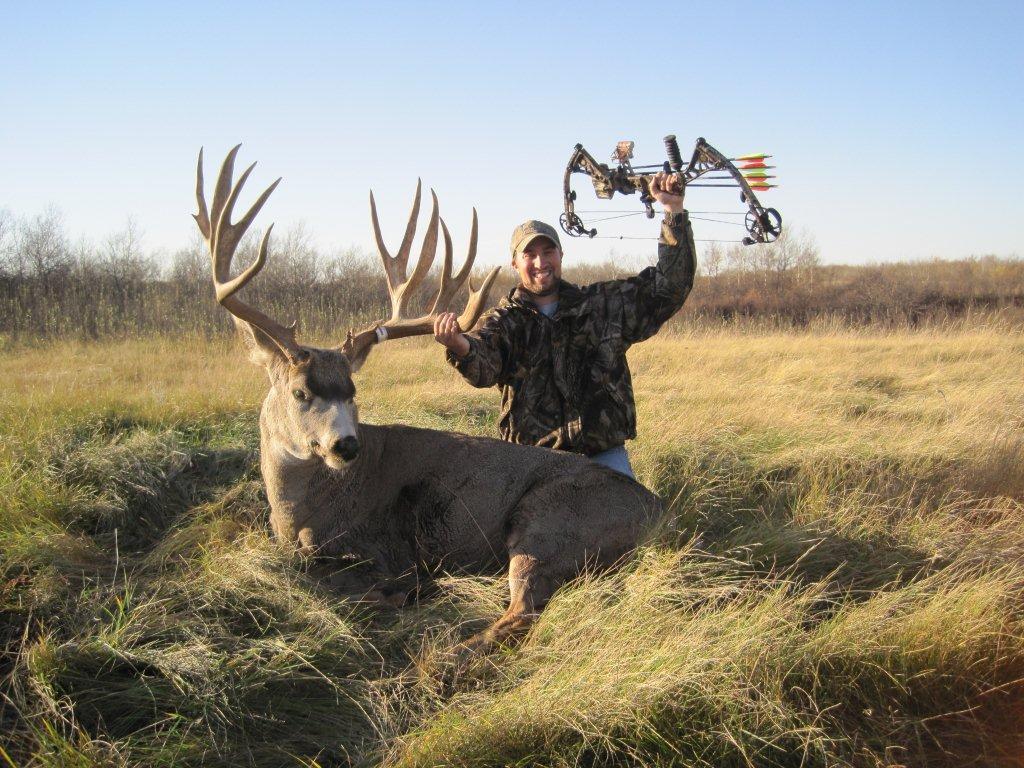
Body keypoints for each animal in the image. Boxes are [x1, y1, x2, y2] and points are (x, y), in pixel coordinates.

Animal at [193, 145, 662, 655]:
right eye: (301, 391)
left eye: (353, 390)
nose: (347, 445)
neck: (297, 512)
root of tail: (661, 513)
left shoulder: (382, 549)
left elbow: (328, 579)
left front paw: (394, 594)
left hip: (548, 519)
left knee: (522, 611)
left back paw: (441, 654)